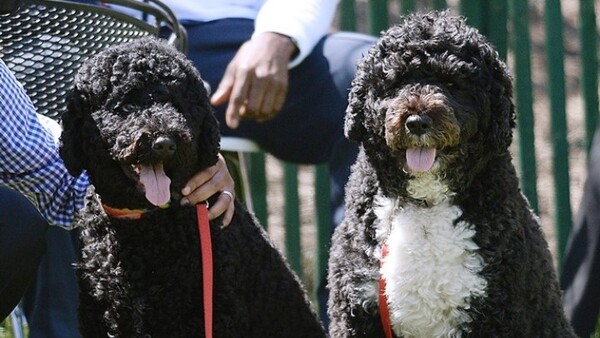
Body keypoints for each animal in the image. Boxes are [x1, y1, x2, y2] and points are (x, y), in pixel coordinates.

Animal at [326, 11, 580, 338]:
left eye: (452, 82)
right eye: (396, 81)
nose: (417, 121)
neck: (424, 205)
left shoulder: (493, 313)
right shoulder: (356, 308)